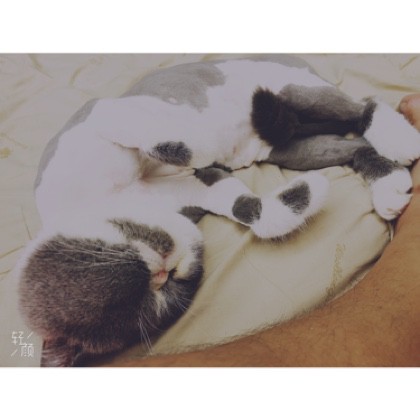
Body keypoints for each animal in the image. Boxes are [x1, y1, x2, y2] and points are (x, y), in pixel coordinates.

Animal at [16, 57, 420, 367]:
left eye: (129, 249)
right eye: (162, 292)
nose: (166, 267)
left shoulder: (102, 115)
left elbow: (173, 141)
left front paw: (196, 137)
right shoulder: (200, 189)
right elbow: (249, 209)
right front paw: (302, 197)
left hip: (295, 92)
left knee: (363, 105)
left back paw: (399, 138)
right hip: (295, 150)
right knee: (355, 145)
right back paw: (388, 182)